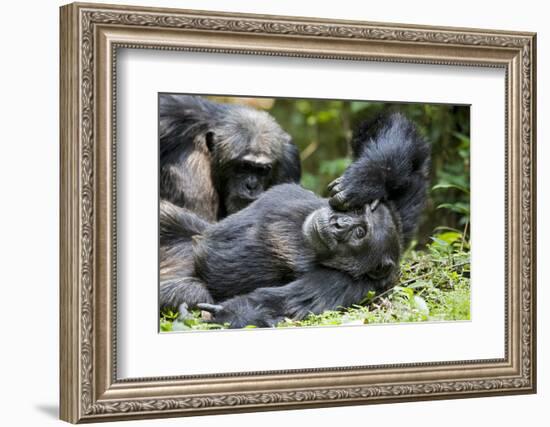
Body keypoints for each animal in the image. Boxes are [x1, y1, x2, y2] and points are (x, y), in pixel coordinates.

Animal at [160, 112, 432, 330]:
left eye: (360, 233)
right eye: (357, 212)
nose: (339, 224)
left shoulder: (348, 285)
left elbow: (285, 303)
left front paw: (232, 314)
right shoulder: (397, 211)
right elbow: (401, 147)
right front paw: (366, 179)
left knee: (194, 290)